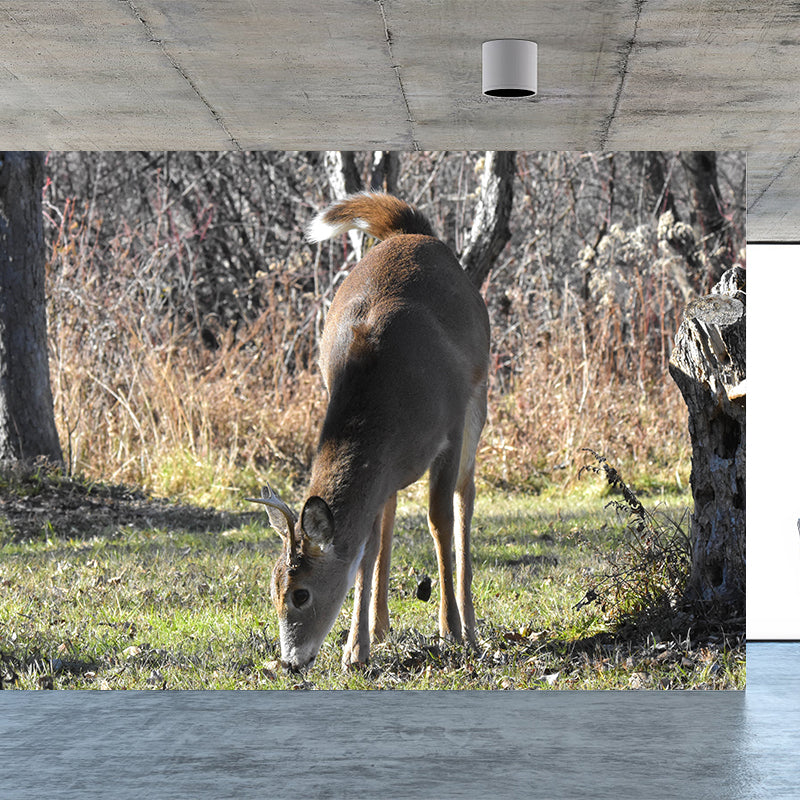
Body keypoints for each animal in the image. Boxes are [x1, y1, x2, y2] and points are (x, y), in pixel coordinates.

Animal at [248, 192, 490, 672]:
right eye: (272, 589)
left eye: (301, 594)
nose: (291, 662)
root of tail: (412, 231)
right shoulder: (383, 461)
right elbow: (367, 546)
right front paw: (355, 649)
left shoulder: (451, 426)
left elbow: (439, 521)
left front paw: (451, 629)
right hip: (392, 471)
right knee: (388, 518)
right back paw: (379, 626)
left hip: (479, 396)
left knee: (465, 498)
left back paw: (469, 625)